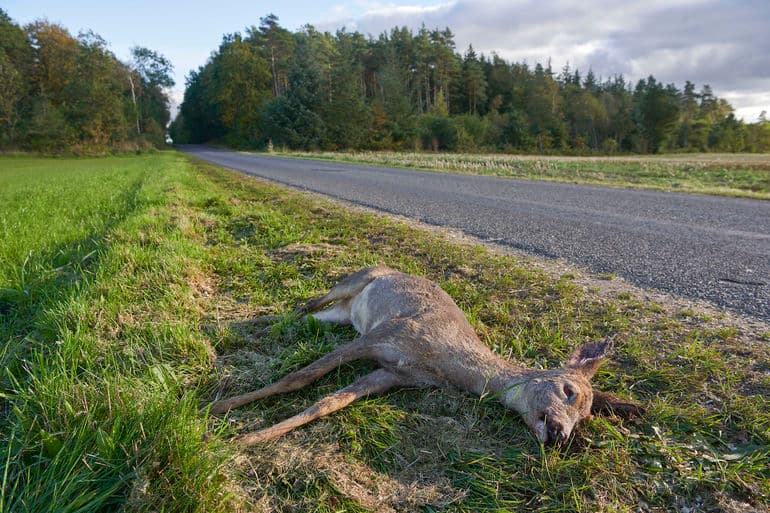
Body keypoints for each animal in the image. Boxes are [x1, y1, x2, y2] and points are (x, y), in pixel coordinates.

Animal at [212, 266, 640, 442]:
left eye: (586, 418)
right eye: (569, 390)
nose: (561, 435)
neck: (443, 359)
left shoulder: (392, 374)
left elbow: (326, 403)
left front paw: (245, 440)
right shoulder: (383, 334)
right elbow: (298, 377)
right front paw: (220, 409)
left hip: (342, 316)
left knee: (309, 316)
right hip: (354, 281)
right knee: (307, 303)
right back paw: (242, 327)